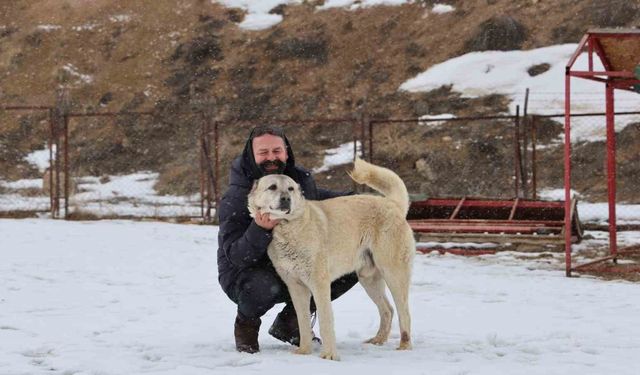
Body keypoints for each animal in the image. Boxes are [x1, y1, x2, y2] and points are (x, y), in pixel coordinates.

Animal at [245, 158, 416, 362]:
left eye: (290, 189)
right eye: (272, 187)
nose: (286, 199)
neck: (287, 228)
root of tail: (392, 204)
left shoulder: (319, 284)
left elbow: (326, 321)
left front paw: (329, 355)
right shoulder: (296, 287)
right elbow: (302, 321)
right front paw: (304, 351)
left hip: (393, 274)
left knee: (404, 312)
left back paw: (404, 346)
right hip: (369, 279)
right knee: (388, 310)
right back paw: (378, 340)